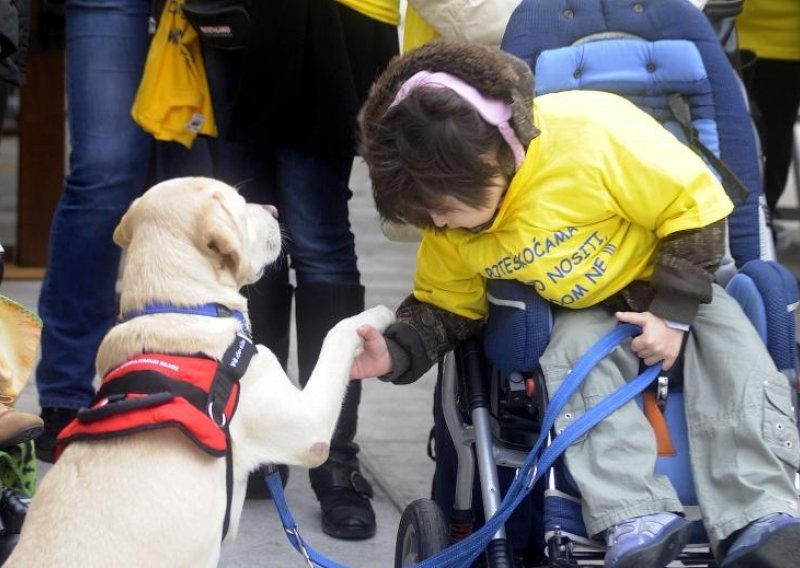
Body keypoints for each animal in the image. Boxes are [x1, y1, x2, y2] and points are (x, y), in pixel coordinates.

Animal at [6, 178, 394, 568]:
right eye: (241, 206)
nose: (274, 210)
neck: (181, 306)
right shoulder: (309, 429)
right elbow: (338, 330)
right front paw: (380, 315)